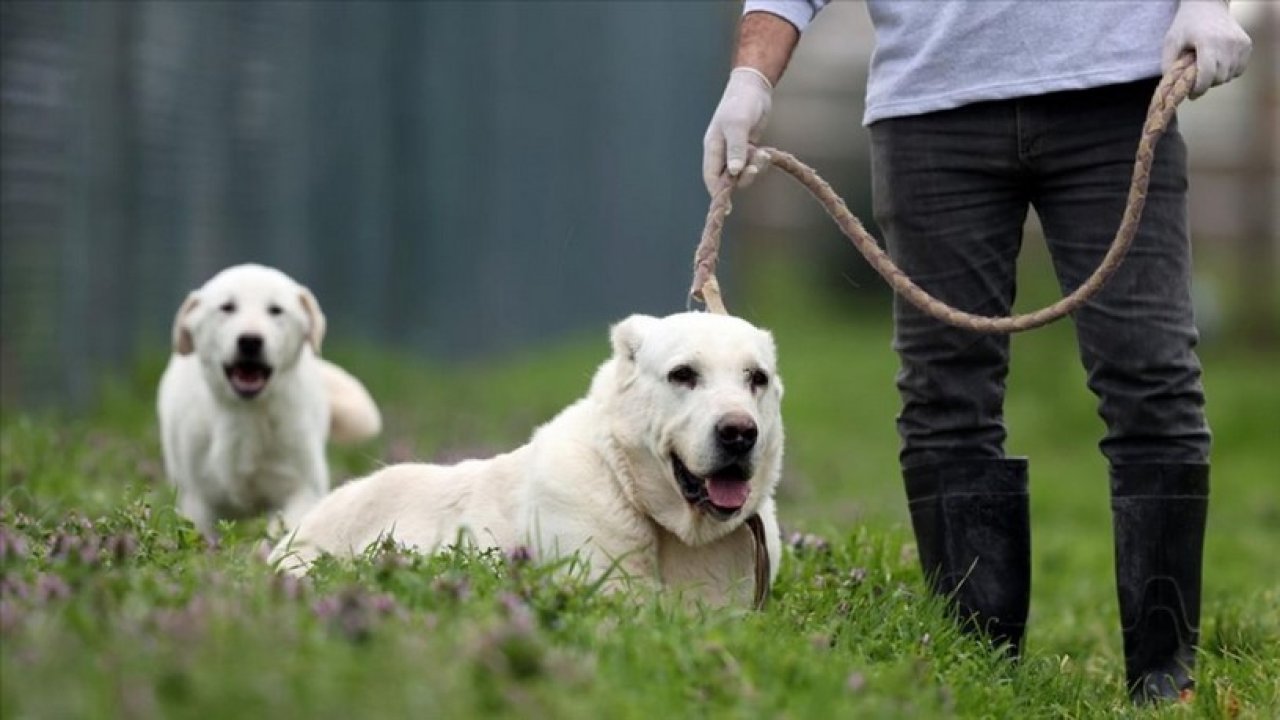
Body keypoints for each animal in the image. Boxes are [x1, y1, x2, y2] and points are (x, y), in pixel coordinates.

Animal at [158, 262, 381, 532]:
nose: (250, 340)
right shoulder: (198, 501)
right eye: (227, 307)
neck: (247, 415)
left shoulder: (302, 487)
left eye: (275, 310)